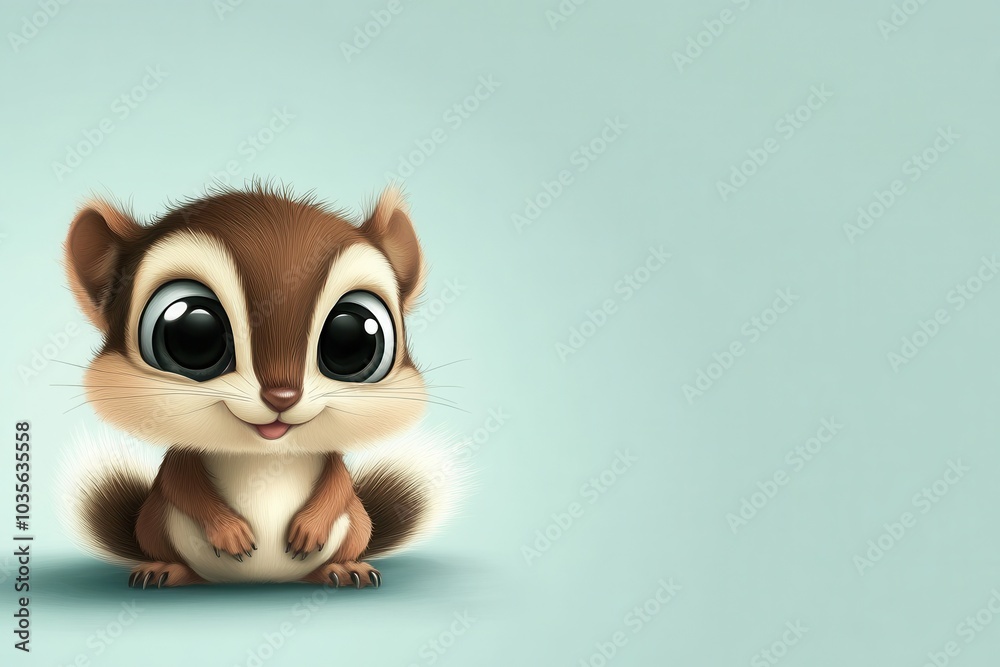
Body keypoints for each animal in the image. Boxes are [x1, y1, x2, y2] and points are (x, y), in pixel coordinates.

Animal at [60, 184, 464, 589]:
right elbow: (180, 484)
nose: (281, 397)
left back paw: (343, 569)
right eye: (193, 334)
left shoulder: (332, 462)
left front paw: (310, 528)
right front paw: (230, 531)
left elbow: (339, 485)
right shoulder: (181, 459)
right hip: (154, 522)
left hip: (358, 524)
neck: (263, 454)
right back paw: (165, 570)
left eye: (351, 339)